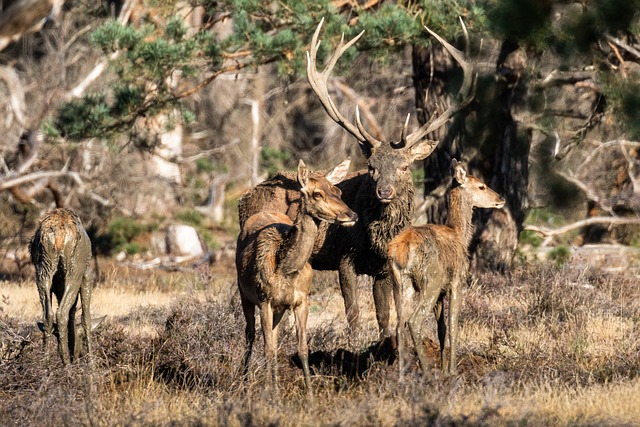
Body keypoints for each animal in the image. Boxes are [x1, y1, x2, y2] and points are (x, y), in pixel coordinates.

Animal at [30, 209, 94, 366]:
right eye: (80, 337)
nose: (77, 355)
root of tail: (58, 235)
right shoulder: (87, 275)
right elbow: (86, 318)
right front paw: (92, 365)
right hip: (74, 270)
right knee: (61, 313)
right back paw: (67, 365)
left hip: (43, 270)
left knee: (48, 315)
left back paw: (45, 363)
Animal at [236, 160, 358, 394]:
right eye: (317, 194)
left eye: (338, 190)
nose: (352, 215)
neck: (286, 271)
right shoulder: (264, 299)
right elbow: (266, 348)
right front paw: (268, 394)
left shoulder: (301, 300)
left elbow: (302, 348)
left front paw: (308, 394)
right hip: (244, 293)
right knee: (250, 335)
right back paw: (244, 384)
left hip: (279, 308)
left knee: (273, 337)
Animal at [238, 18, 472, 336]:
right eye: (371, 166)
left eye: (405, 166)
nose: (384, 191)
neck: (376, 240)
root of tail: (244, 197)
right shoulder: (344, 257)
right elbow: (353, 314)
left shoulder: (384, 268)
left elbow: (385, 317)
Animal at [390, 159, 504, 380]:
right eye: (481, 186)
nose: (501, 199)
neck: (459, 234)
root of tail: (402, 249)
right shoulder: (457, 281)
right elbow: (453, 324)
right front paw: (452, 371)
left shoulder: (442, 292)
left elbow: (441, 328)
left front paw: (444, 369)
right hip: (430, 280)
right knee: (413, 321)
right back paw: (426, 373)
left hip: (400, 282)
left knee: (399, 325)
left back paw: (401, 376)